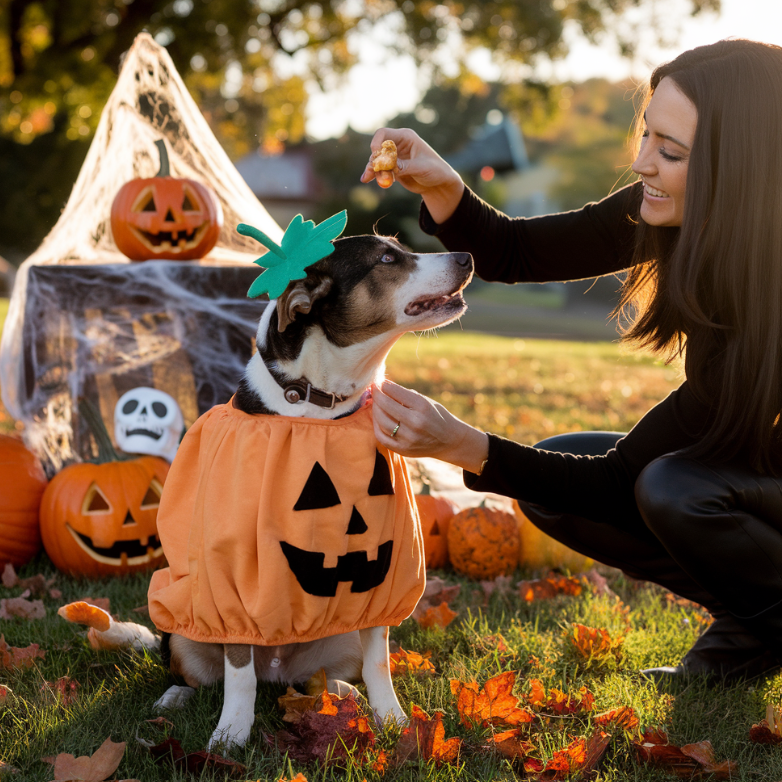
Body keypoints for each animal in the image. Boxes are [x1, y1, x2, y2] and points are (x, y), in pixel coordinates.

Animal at [150, 234, 474, 752]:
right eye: (386, 258)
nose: (467, 257)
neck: (318, 401)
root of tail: (279, 671)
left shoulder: (380, 584)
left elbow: (379, 664)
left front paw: (393, 720)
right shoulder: (234, 581)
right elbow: (238, 674)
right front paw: (231, 735)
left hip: (341, 639)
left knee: (324, 676)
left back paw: (342, 691)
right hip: (183, 636)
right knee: (204, 675)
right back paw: (176, 697)